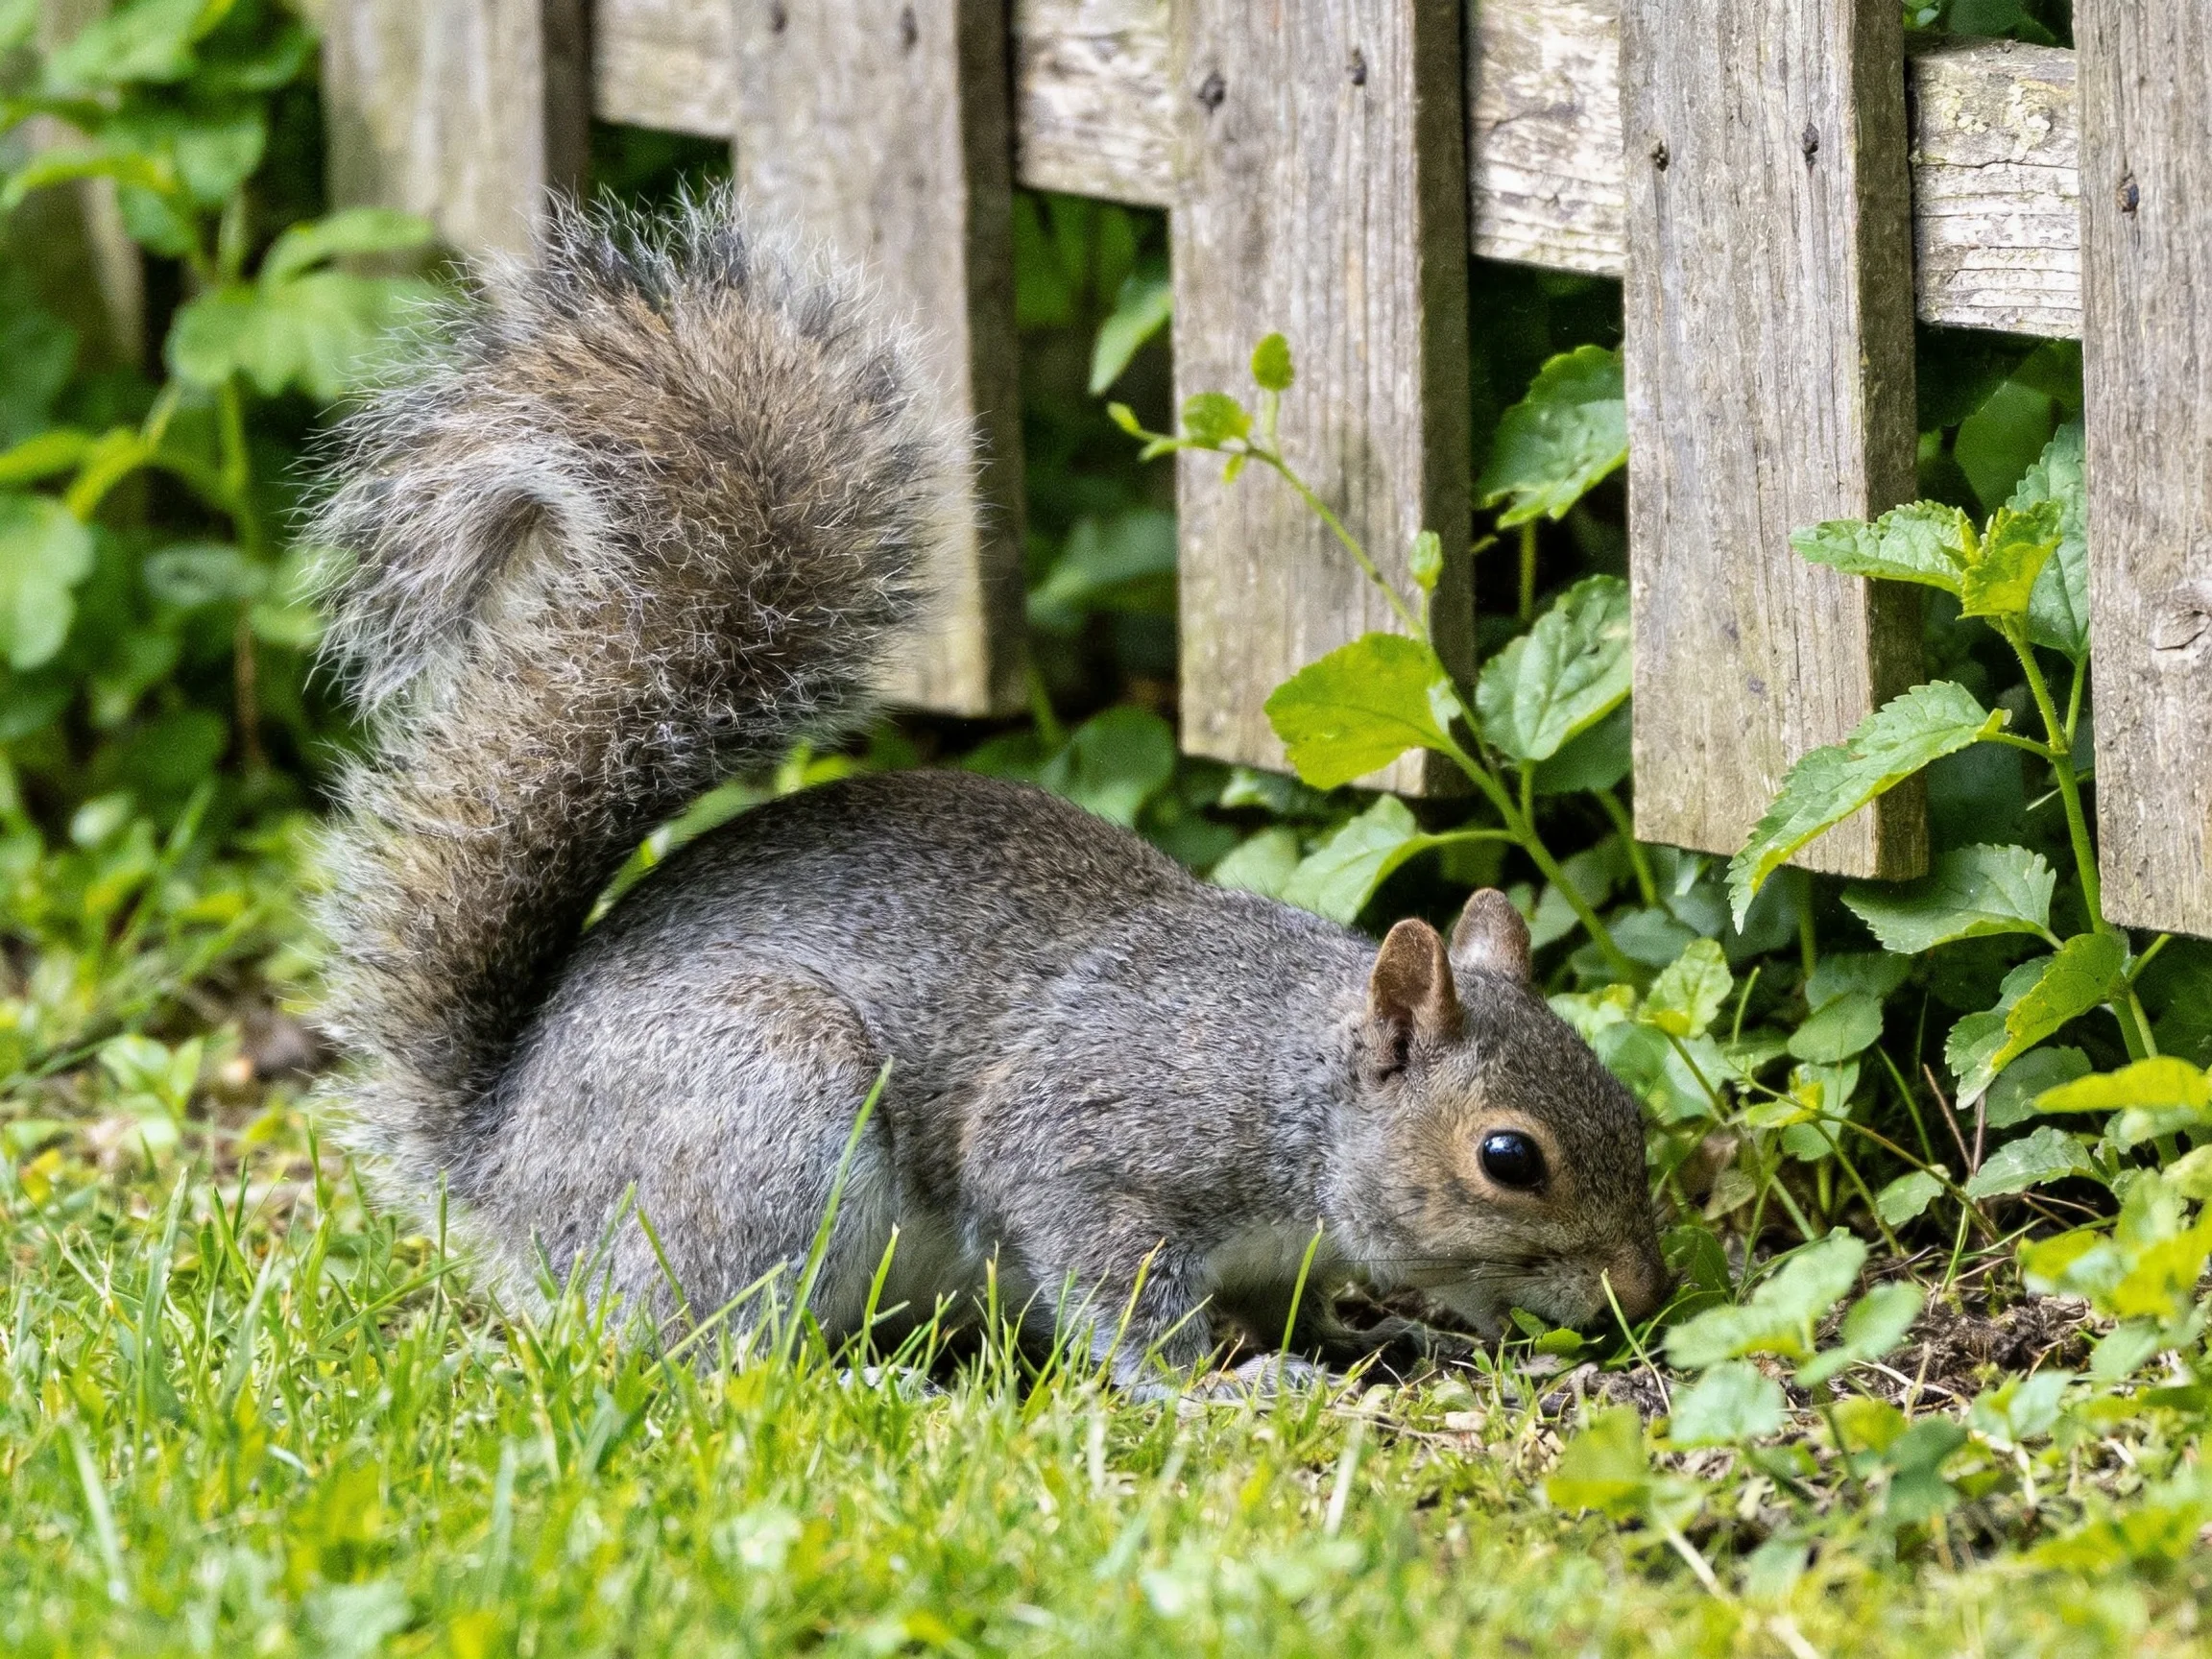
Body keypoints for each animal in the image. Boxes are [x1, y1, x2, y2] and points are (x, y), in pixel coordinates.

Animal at [312, 191, 1668, 1392]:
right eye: (1509, 1157)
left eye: (1625, 1101)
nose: (1647, 1298)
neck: (1291, 1081)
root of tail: (503, 1165)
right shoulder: (1089, 1150)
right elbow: (1122, 1300)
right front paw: (1224, 1388)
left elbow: (1288, 1295)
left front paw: (1371, 1334)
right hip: (768, 1125)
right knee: (710, 1341)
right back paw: (870, 1383)